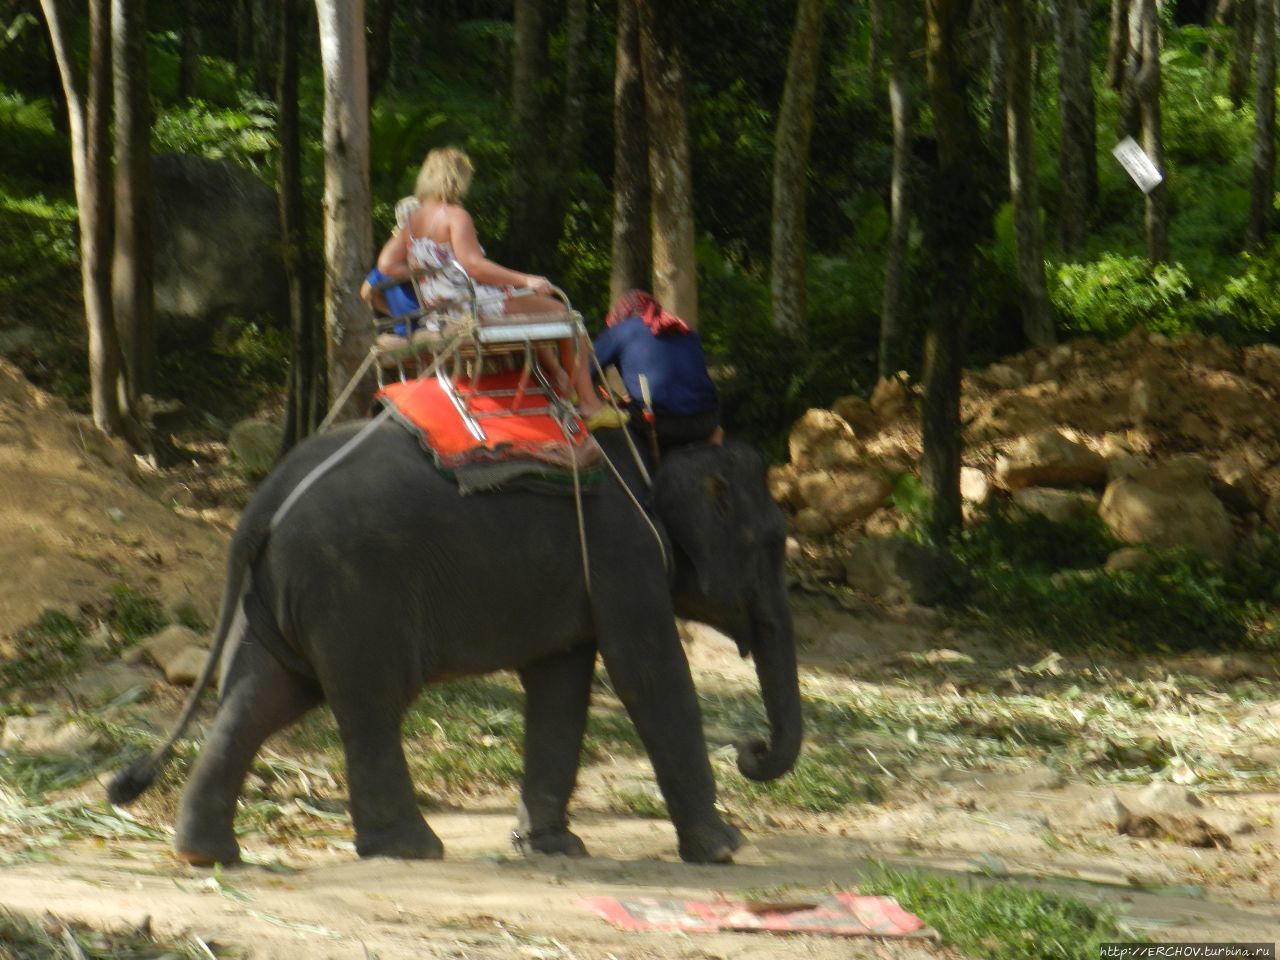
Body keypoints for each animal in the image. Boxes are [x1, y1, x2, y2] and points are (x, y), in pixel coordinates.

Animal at [110, 417, 803, 870]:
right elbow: (647, 673)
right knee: (369, 702)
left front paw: (553, 848)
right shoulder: (622, 548)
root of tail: (264, 500)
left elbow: (561, 680)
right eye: (773, 542)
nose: (751, 749)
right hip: (355, 591)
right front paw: (726, 850)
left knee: (263, 696)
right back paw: (411, 849)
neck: (655, 448)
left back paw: (205, 855)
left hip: (284, 596)